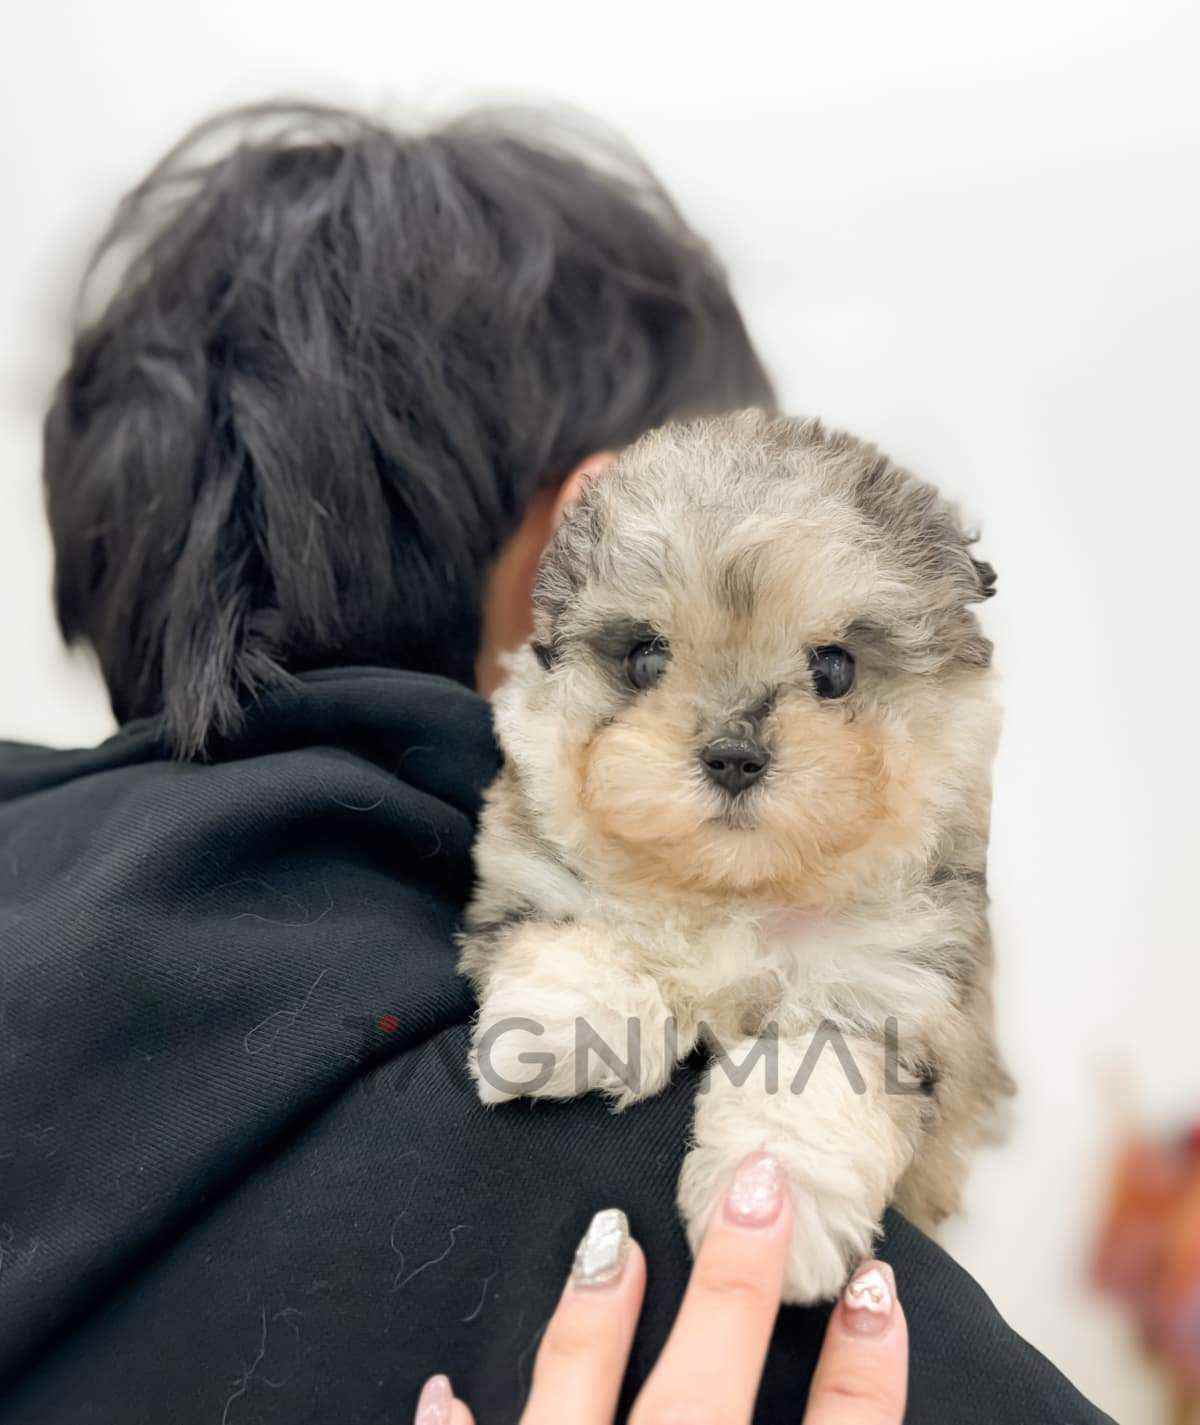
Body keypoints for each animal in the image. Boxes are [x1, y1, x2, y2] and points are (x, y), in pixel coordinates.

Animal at [458, 409, 1013, 1303]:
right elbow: (586, 933)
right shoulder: (541, 868)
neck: (736, 891)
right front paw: (560, 1022)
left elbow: (806, 1095)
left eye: (835, 667)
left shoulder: (885, 989)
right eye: (646, 657)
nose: (733, 756)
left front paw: (777, 1208)